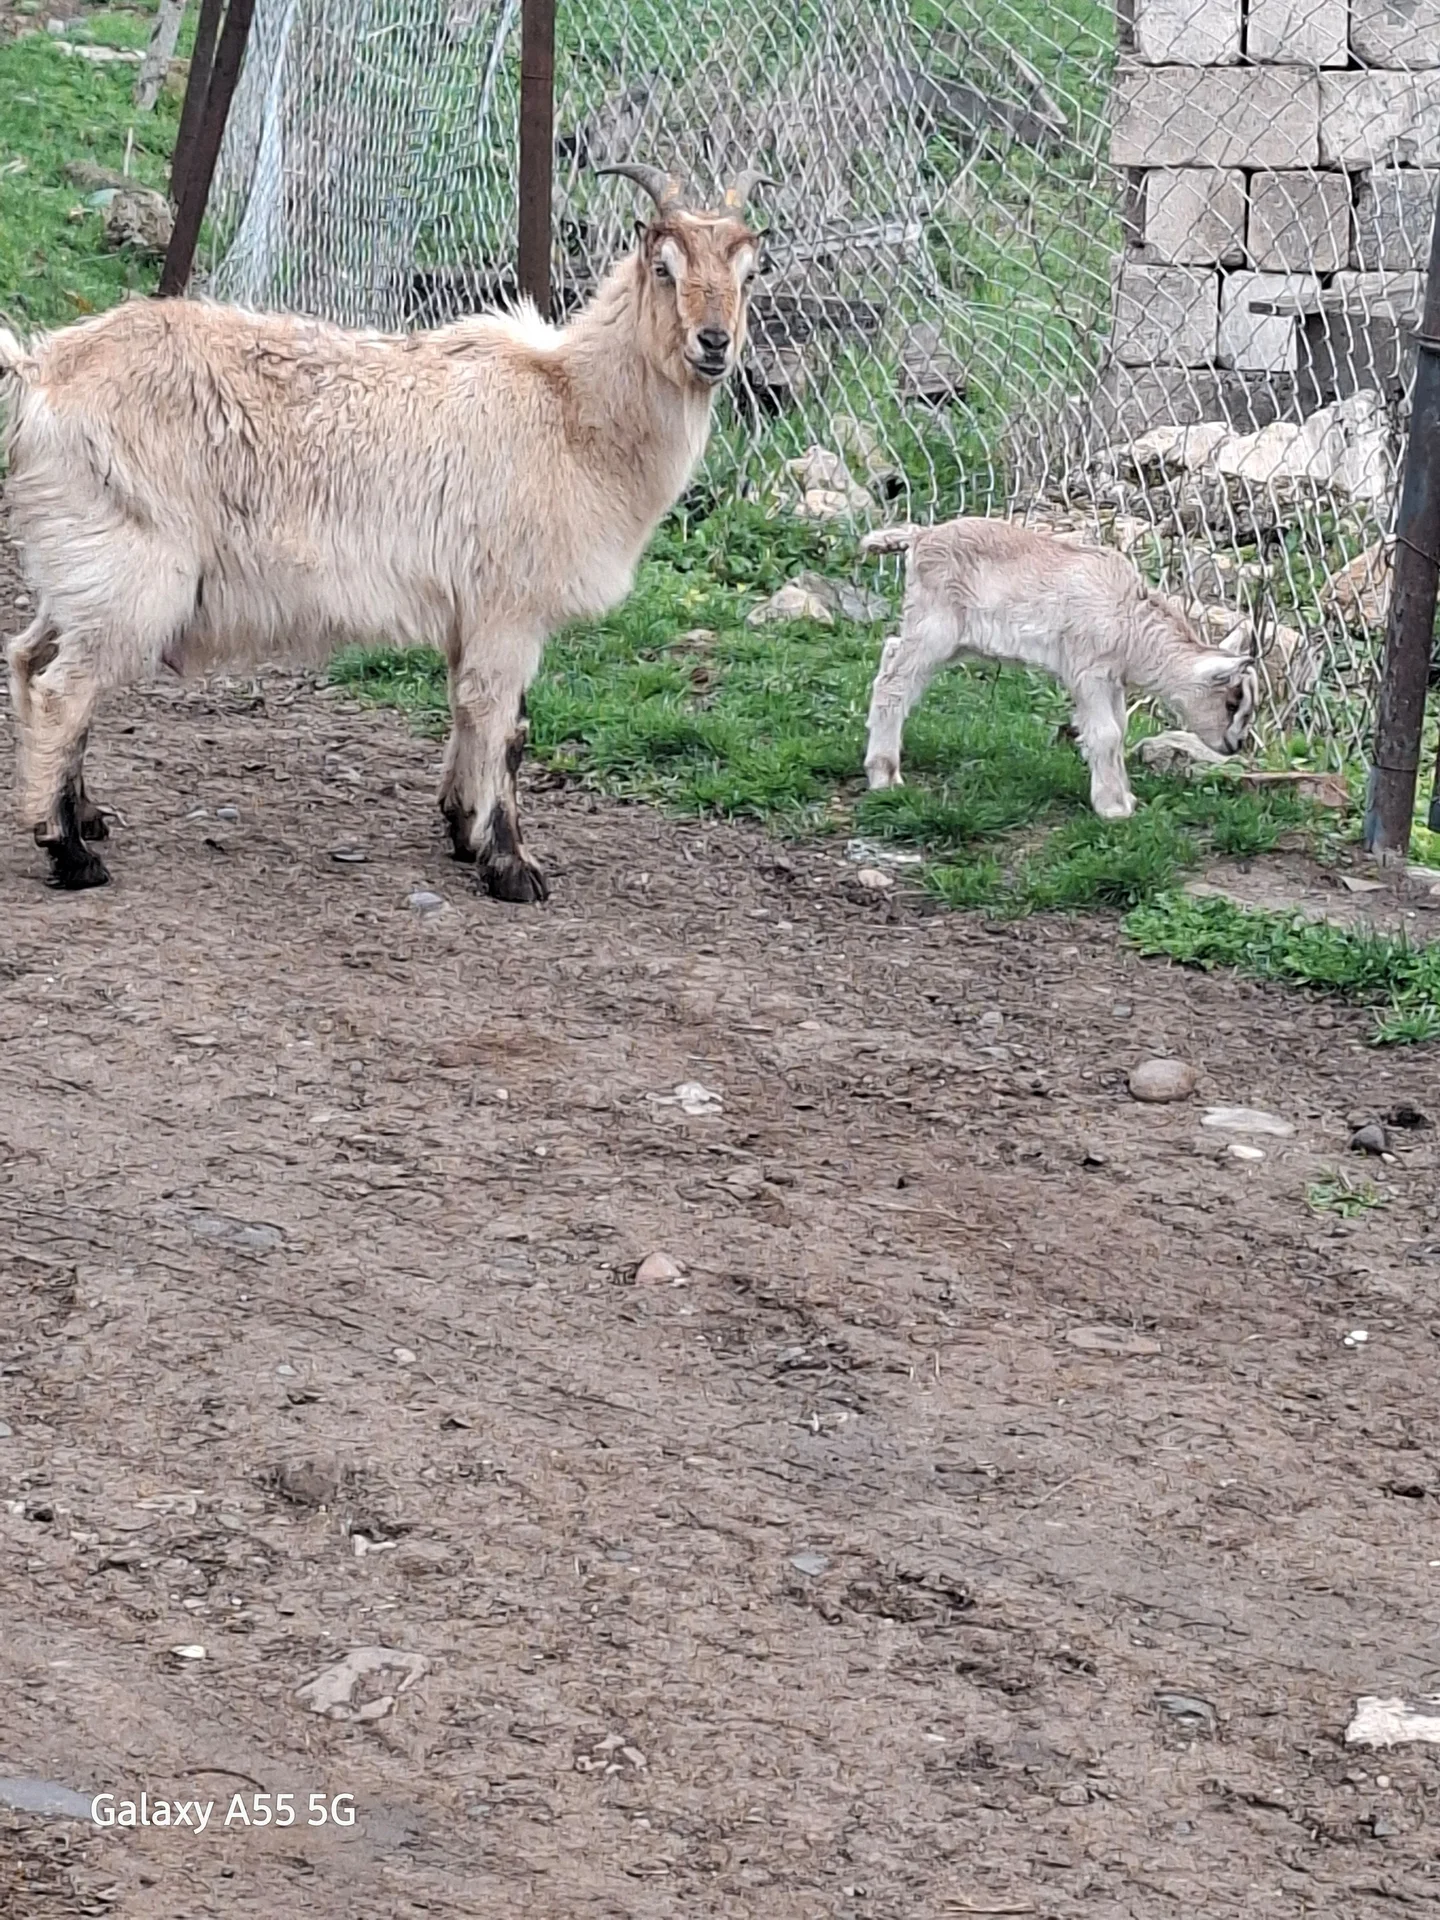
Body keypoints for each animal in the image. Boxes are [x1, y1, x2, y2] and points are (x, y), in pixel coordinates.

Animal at [1, 161, 763, 899]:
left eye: (750, 275)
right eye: (662, 267)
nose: (714, 344)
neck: (570, 407)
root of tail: (40, 375)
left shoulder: (471, 614)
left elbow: (466, 710)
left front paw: (462, 829)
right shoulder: (509, 608)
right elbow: (506, 728)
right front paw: (512, 868)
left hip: (81, 564)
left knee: (32, 658)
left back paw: (79, 814)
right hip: (129, 568)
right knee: (65, 687)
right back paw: (68, 852)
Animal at [860, 519, 1258, 821]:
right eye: (1231, 703)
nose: (1235, 745)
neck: (1131, 624)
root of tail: (921, 535)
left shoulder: (1112, 680)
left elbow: (1119, 730)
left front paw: (1125, 797)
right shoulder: (1088, 671)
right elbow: (1106, 733)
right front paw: (1113, 808)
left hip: (947, 637)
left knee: (893, 657)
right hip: (936, 627)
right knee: (895, 682)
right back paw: (884, 774)